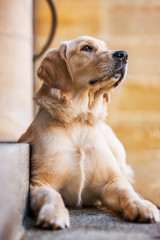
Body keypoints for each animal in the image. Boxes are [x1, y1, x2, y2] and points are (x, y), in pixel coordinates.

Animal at [18, 35, 159, 229]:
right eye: (86, 48)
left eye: (106, 47)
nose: (123, 55)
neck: (79, 118)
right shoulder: (39, 182)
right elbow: (53, 195)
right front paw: (53, 214)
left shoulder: (110, 181)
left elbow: (126, 191)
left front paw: (141, 205)